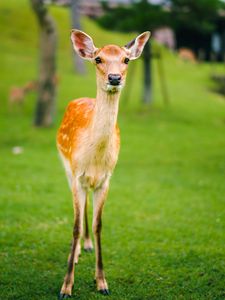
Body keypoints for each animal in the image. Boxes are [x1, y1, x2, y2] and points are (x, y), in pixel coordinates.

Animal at [56, 28, 150, 298]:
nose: (115, 77)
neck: (95, 158)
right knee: (77, 211)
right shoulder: (77, 173)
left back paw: (86, 246)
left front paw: (102, 282)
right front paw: (66, 287)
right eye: (98, 59)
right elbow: (75, 226)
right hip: (66, 167)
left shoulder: (106, 179)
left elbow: (99, 225)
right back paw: (78, 251)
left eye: (126, 59)